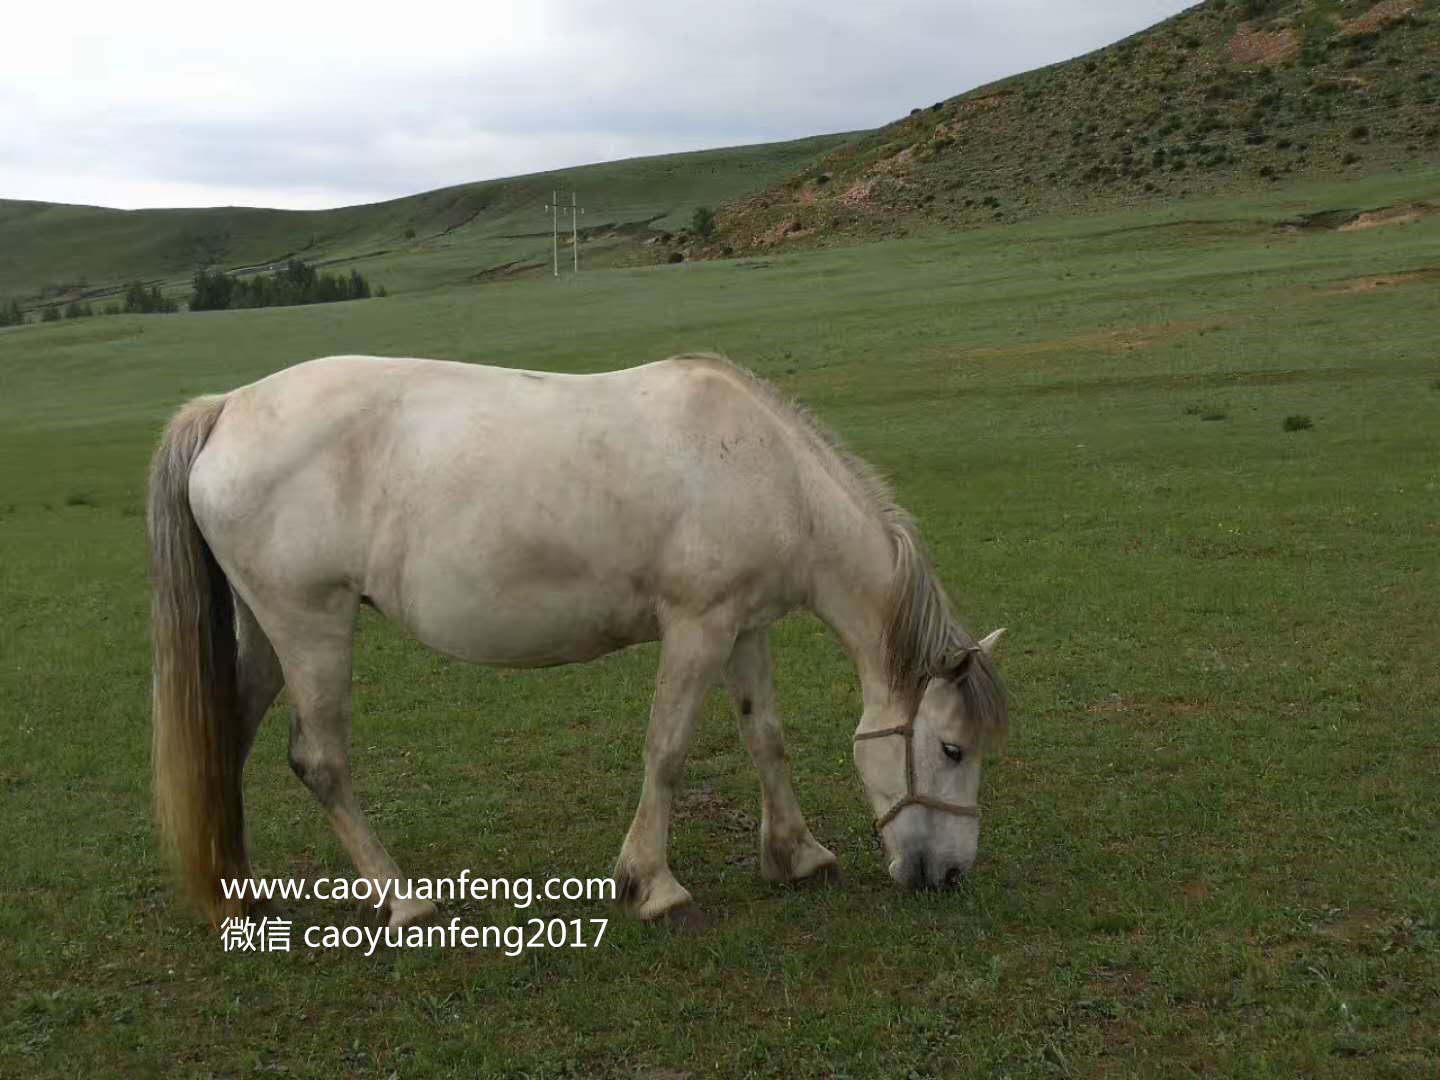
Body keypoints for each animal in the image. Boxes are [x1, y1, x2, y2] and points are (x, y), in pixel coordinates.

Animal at [143, 355, 1002, 933]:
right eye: (952, 749)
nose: (951, 874)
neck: (771, 470)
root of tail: (227, 408)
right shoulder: (697, 627)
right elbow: (668, 750)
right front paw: (652, 886)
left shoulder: (743, 626)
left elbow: (766, 739)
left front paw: (797, 856)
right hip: (311, 626)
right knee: (320, 761)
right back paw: (403, 901)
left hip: (267, 634)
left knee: (227, 736)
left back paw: (238, 896)